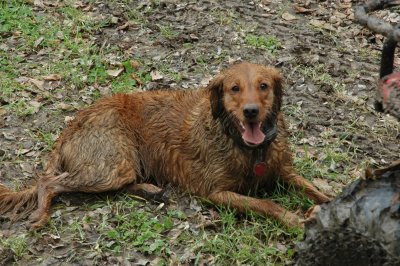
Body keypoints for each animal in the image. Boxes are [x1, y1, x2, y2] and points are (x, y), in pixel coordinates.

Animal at [0, 61, 330, 228]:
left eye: (263, 86)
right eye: (234, 88)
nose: (251, 112)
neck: (249, 149)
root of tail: (72, 124)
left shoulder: (285, 171)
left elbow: (315, 189)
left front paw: (331, 204)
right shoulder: (215, 192)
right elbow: (267, 204)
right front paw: (297, 221)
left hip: (119, 166)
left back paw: (150, 189)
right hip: (109, 165)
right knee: (47, 181)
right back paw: (41, 215)